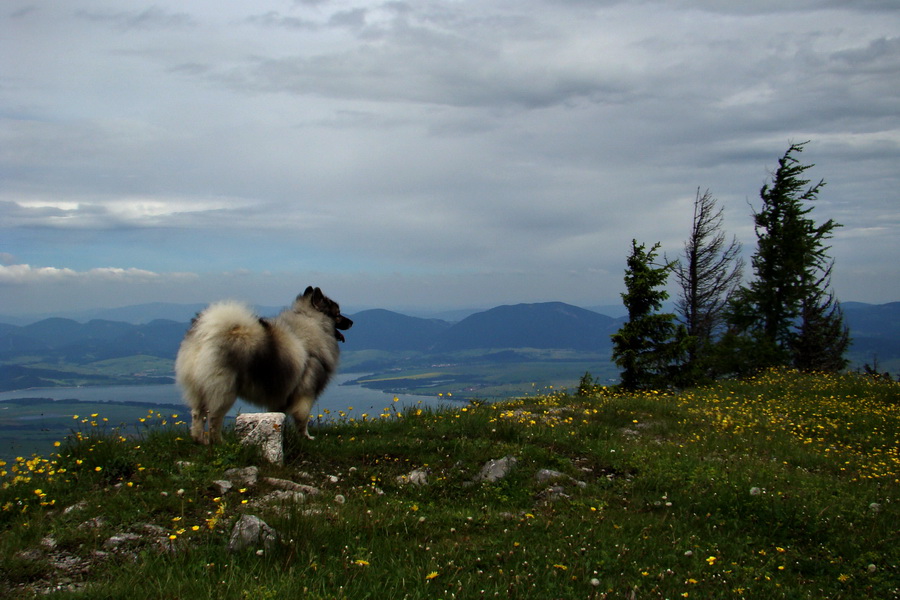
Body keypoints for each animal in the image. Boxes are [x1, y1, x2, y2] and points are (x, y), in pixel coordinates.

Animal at [175, 286, 352, 446]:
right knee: (213, 418)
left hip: (199, 390)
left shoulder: (281, 395)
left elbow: (280, 416)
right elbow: (302, 419)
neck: (314, 323)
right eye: (338, 314)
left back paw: (200, 440)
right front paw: (306, 437)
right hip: (224, 392)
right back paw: (218, 442)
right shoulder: (305, 393)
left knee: (197, 414)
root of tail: (205, 335)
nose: (351, 322)